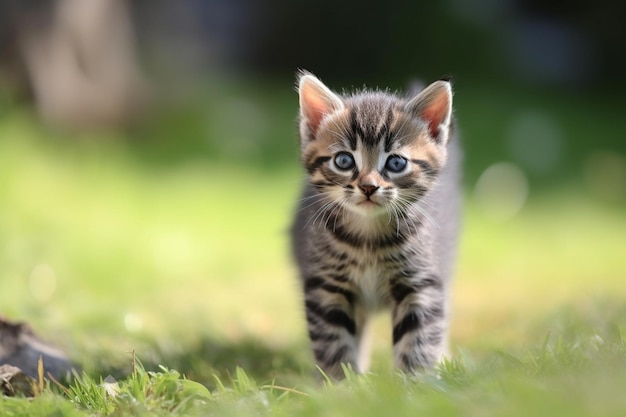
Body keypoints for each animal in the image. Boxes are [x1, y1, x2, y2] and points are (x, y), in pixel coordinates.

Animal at [292, 70, 458, 376]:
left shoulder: (420, 283)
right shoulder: (326, 285)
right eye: (344, 160)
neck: (368, 236)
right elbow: (334, 343)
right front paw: (343, 384)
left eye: (396, 163)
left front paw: (416, 383)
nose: (368, 187)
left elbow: (418, 343)